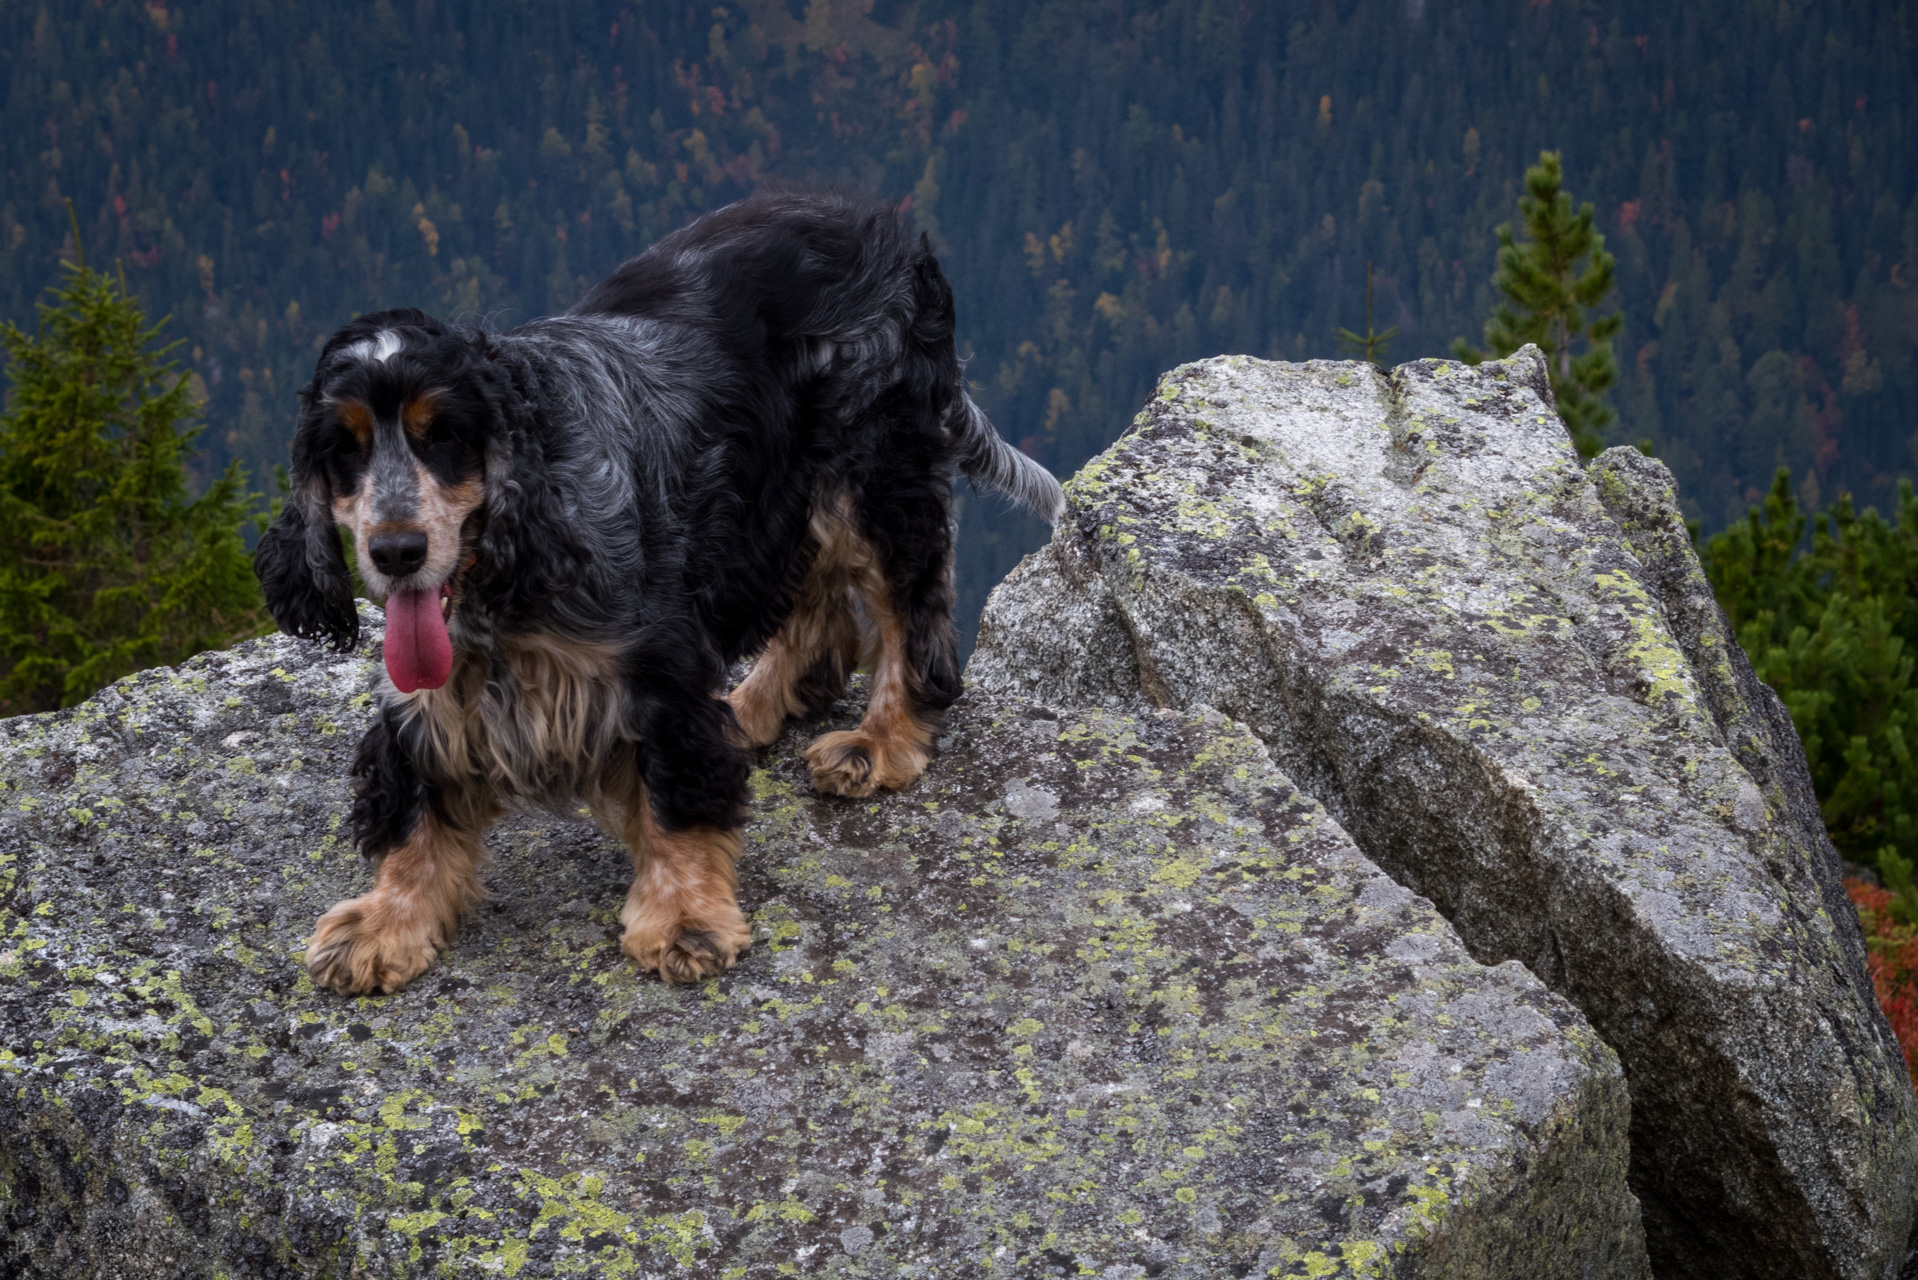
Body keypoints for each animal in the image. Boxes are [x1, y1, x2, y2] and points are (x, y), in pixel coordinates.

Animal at [253, 189, 1066, 997]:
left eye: (444, 433)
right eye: (343, 448)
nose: (396, 553)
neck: (507, 590)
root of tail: (889, 228)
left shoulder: (656, 668)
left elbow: (678, 797)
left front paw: (684, 919)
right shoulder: (426, 697)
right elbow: (410, 805)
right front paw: (383, 921)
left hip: (873, 469)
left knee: (909, 606)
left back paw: (878, 741)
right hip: (771, 495)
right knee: (817, 605)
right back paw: (751, 708)